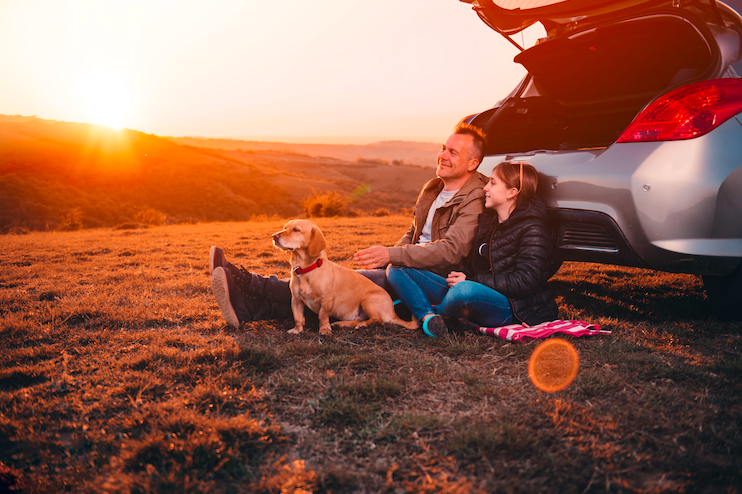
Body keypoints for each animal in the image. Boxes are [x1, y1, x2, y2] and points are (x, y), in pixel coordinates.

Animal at [274, 220, 422, 336]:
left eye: (296, 230)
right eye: (285, 227)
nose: (274, 236)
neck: (306, 269)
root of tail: (393, 313)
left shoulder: (326, 300)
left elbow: (322, 316)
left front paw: (324, 329)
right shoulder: (296, 300)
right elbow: (298, 318)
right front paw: (297, 330)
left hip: (367, 300)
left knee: (378, 319)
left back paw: (363, 325)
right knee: (359, 319)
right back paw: (342, 324)